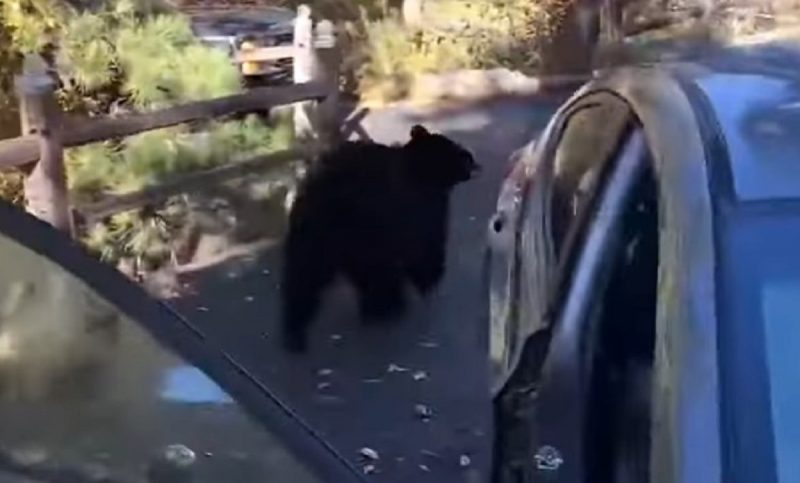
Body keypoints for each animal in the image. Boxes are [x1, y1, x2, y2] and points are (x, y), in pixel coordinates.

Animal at [280, 125, 479, 353]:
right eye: (455, 148)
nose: (471, 158)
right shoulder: (420, 213)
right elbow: (426, 249)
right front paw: (428, 281)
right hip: (352, 232)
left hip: (317, 234)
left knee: (305, 273)